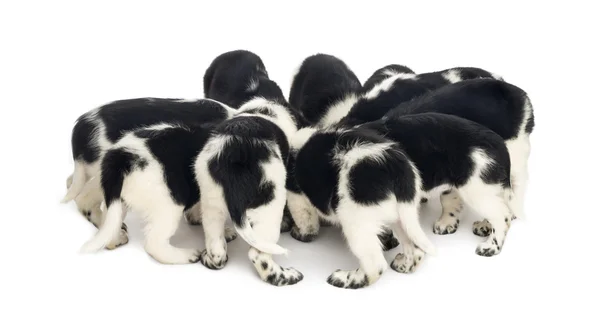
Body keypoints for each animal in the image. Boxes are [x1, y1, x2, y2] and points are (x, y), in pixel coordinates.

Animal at [288, 124, 436, 290]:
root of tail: (396, 167)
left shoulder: (297, 197)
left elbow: (306, 222)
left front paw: (300, 234)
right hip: (402, 215)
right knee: (415, 248)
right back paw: (403, 265)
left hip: (356, 221)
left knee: (375, 265)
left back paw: (345, 278)